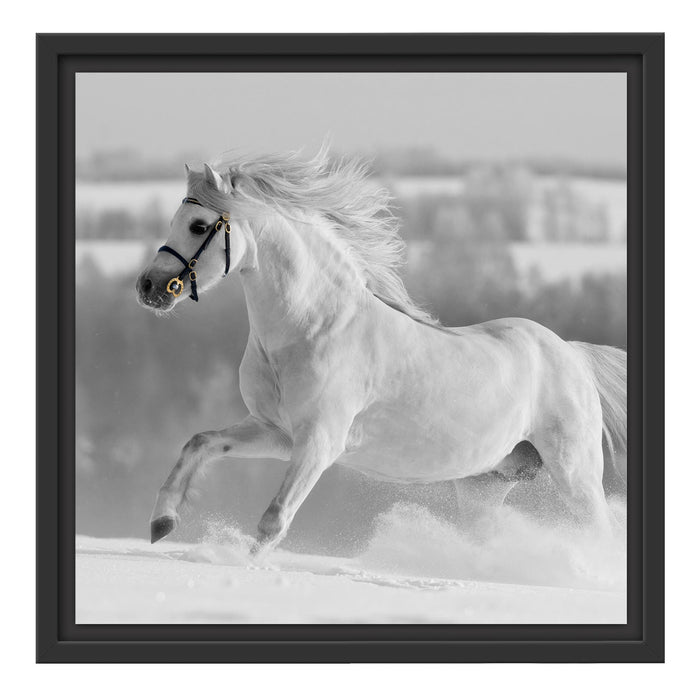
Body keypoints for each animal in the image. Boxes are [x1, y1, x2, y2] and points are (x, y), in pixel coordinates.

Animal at [135, 150, 627, 554]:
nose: (150, 287)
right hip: (484, 485)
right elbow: (199, 442)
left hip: (576, 475)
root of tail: (572, 355)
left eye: (199, 226)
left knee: (599, 533)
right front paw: (161, 523)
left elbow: (274, 521)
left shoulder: (320, 441)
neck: (313, 328)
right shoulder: (276, 432)